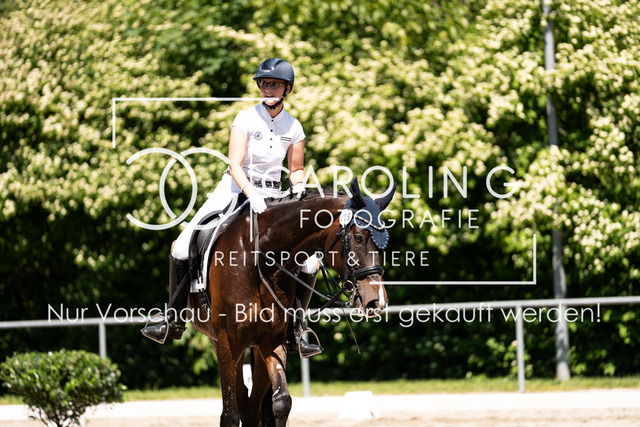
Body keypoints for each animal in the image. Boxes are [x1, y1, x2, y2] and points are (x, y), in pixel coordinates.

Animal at [189, 179, 396, 426]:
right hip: (219, 341)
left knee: (251, 408)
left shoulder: (271, 340)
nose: (378, 301)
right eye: (358, 238)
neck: (260, 259)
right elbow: (230, 414)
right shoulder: (226, 343)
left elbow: (281, 402)